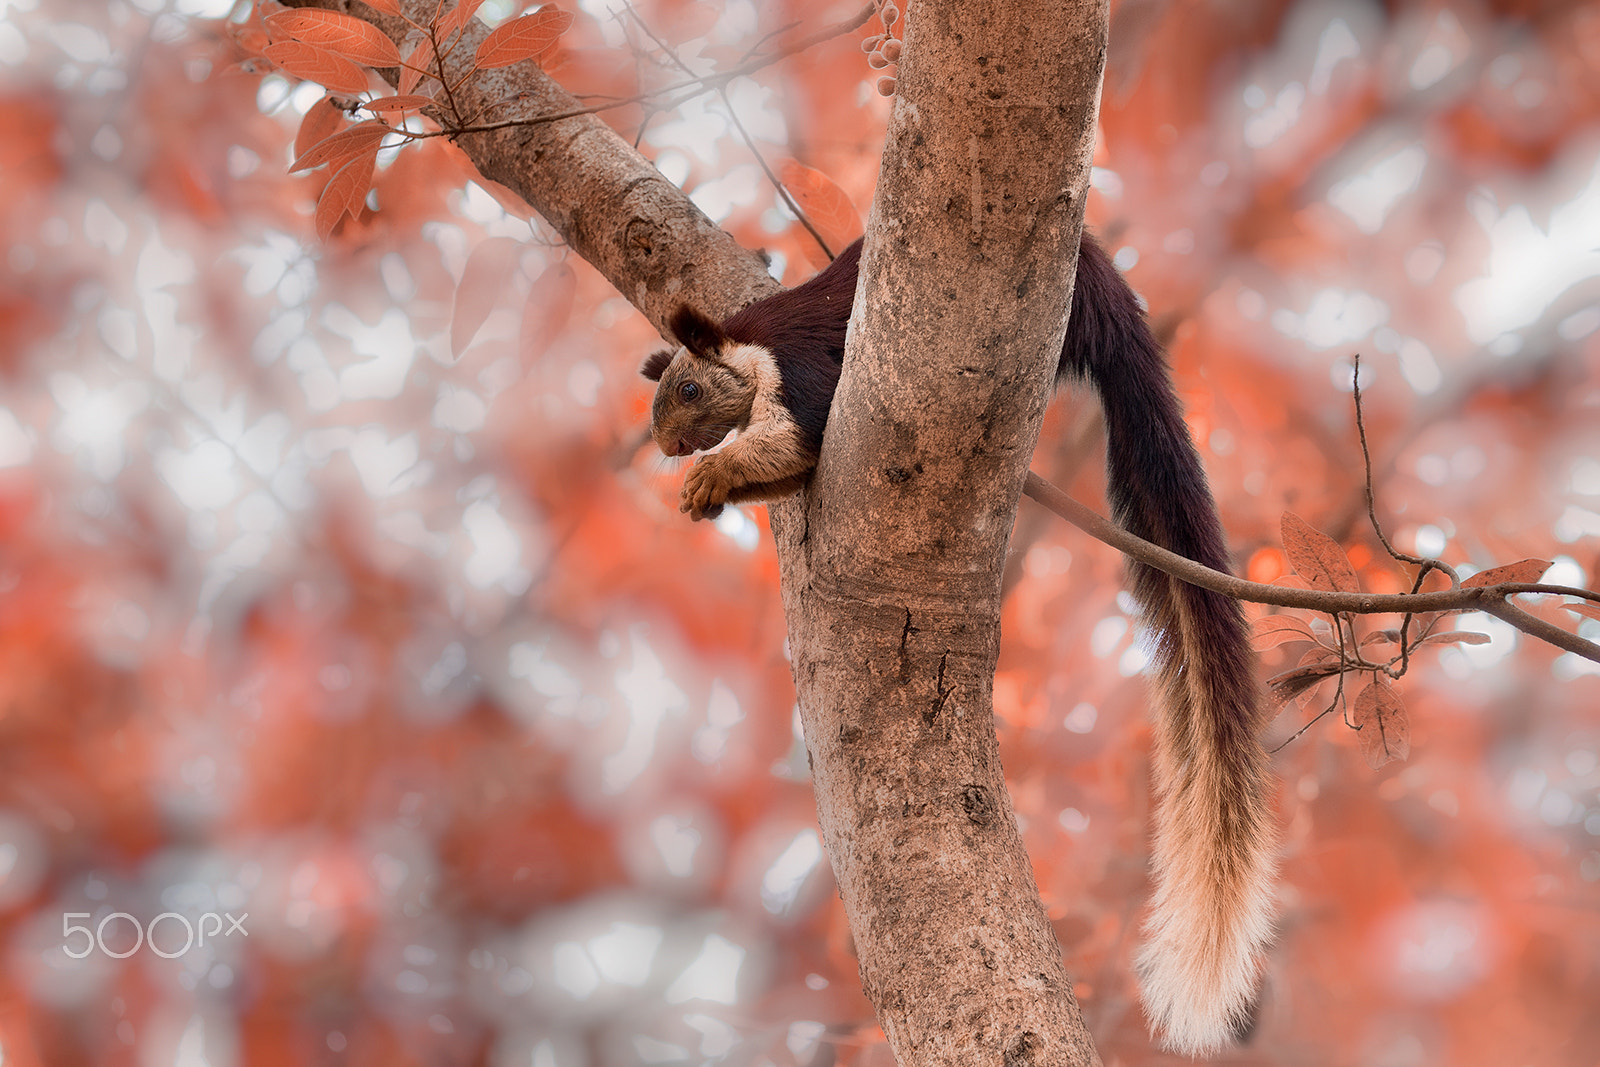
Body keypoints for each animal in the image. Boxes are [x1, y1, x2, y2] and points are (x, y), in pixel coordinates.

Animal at [641, 233, 1275, 1057]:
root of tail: (1117, 306)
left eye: (688, 391)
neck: (750, 346)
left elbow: (798, 437)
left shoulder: (801, 369)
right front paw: (706, 490)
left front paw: (710, 473)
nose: (667, 444)